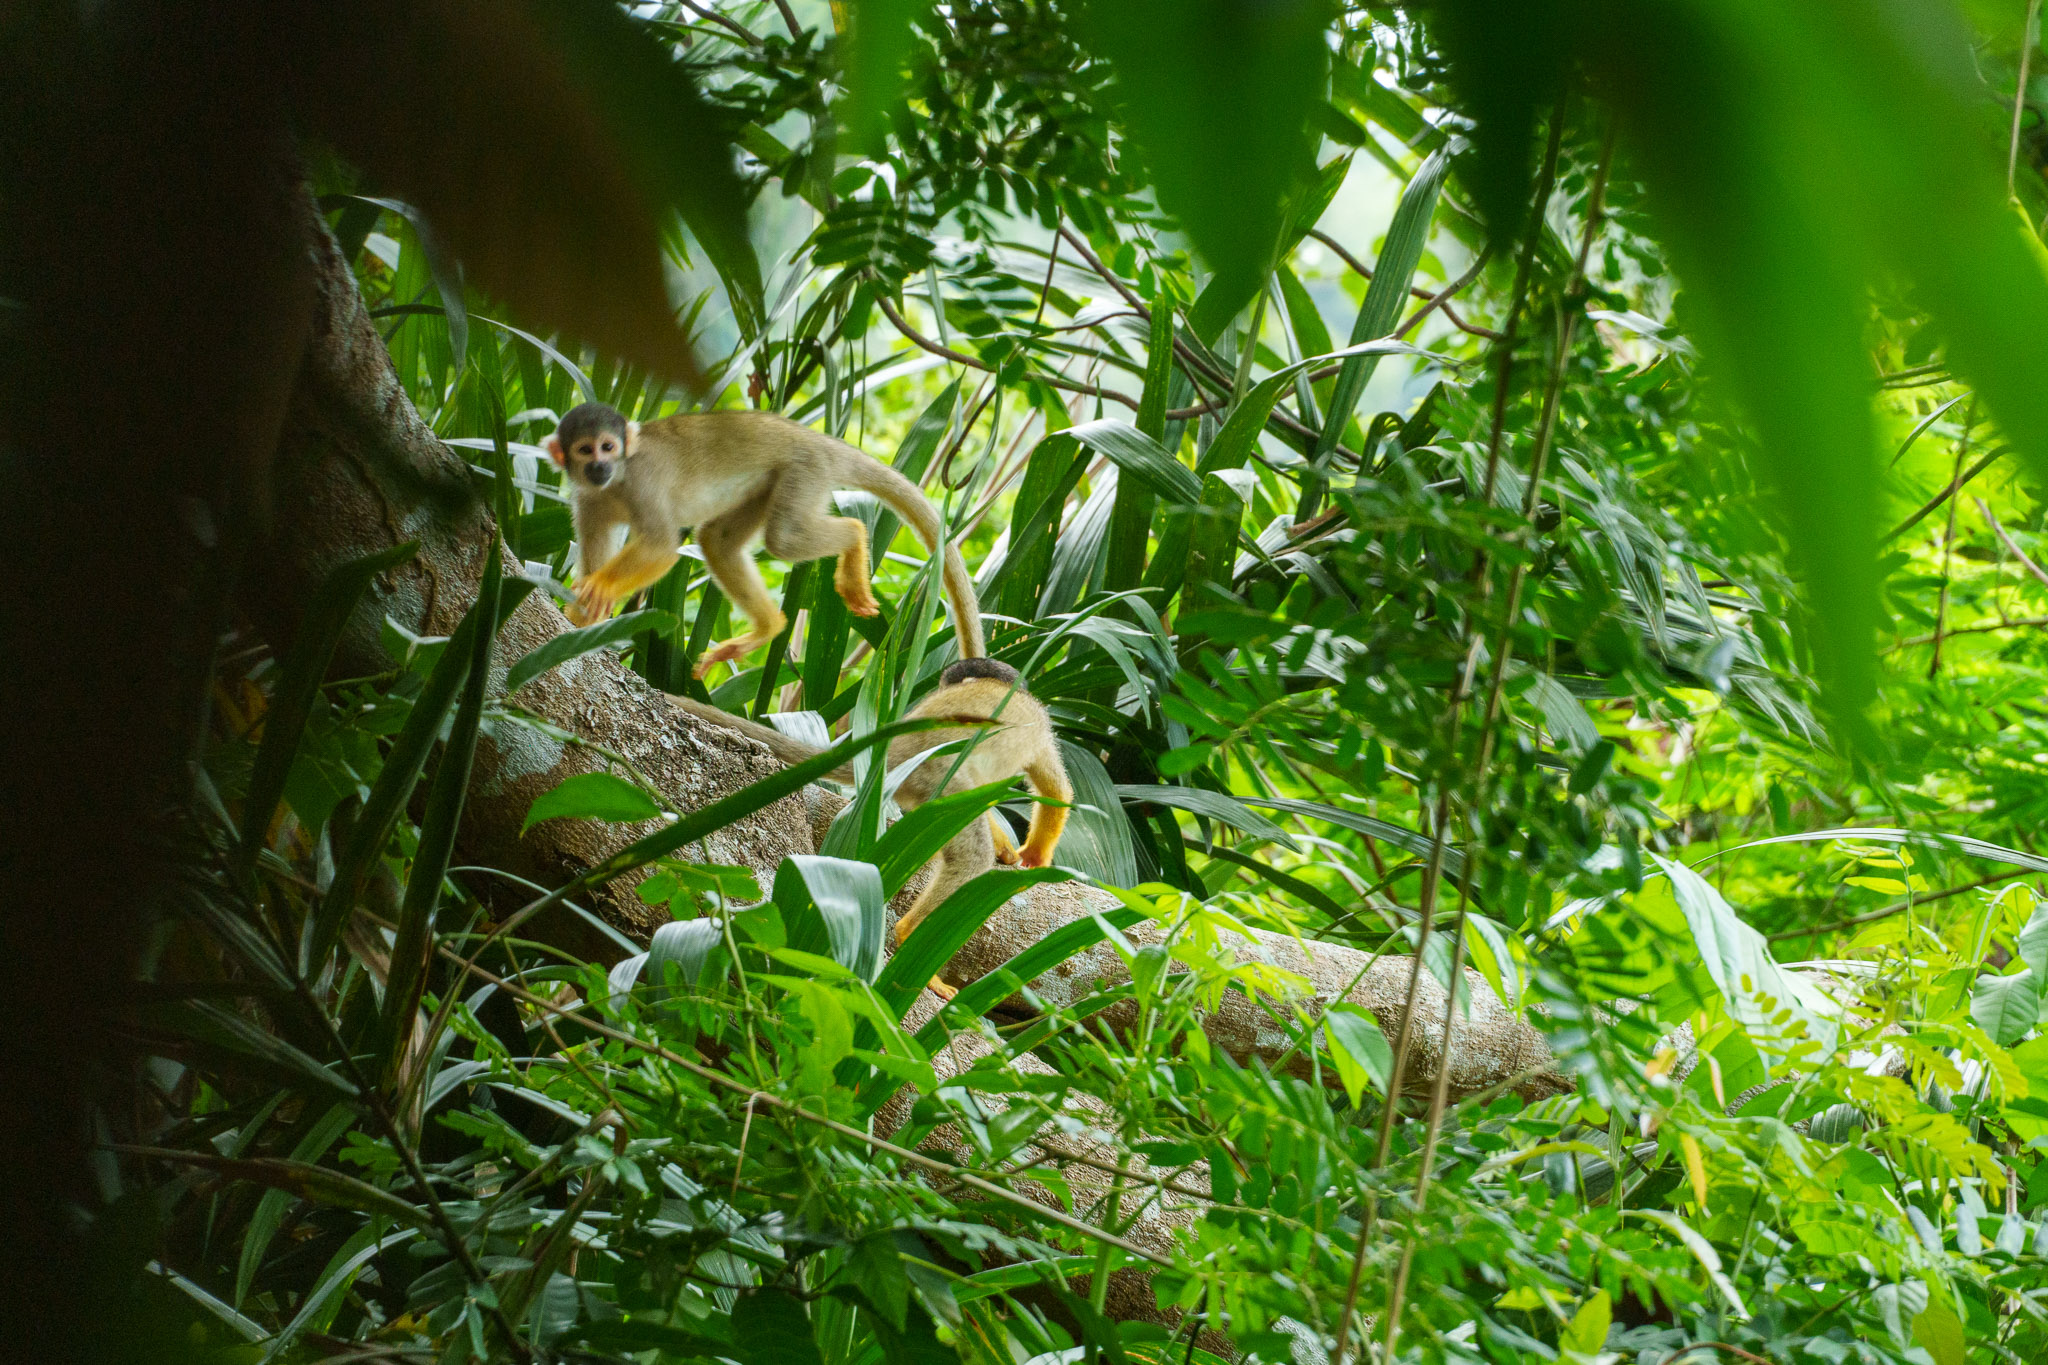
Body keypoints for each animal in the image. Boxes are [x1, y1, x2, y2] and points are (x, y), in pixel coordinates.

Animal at [545, 403, 985, 677]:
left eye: (608, 447)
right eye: (585, 450)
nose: (599, 465)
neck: (616, 483)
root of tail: (819, 440)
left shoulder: (644, 484)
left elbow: (661, 545)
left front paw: (601, 588)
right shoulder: (586, 499)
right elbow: (596, 548)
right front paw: (582, 617)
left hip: (804, 471)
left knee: (784, 539)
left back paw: (854, 537)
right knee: (718, 541)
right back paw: (768, 627)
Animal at [672, 658, 1071, 993]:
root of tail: (900, 747)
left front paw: (1012, 848)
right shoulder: (1041, 729)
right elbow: (1055, 788)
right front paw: (1036, 856)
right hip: (940, 774)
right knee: (971, 857)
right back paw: (910, 936)